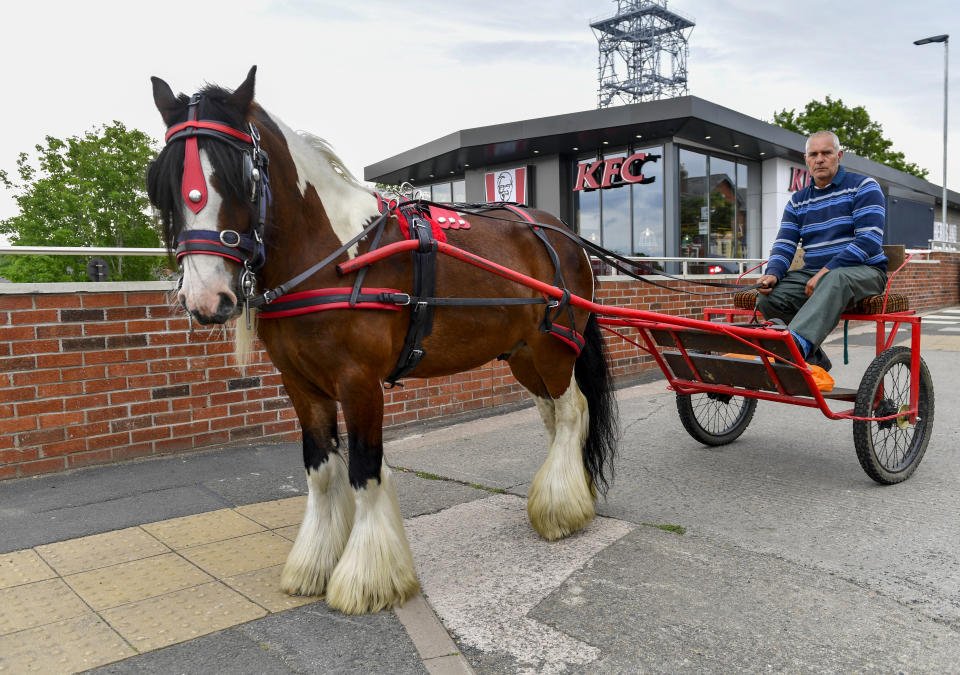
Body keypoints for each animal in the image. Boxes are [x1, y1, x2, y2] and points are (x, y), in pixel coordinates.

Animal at [146, 66, 620, 616]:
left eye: (240, 176)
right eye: (164, 184)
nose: (206, 298)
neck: (335, 256)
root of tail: (560, 231)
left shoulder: (360, 382)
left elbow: (364, 469)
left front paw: (368, 578)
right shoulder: (301, 385)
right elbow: (321, 470)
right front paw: (313, 564)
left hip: (555, 345)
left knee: (572, 412)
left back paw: (561, 509)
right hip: (525, 356)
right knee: (554, 415)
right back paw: (568, 494)